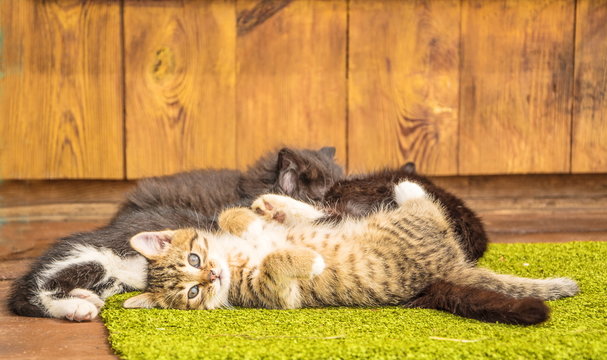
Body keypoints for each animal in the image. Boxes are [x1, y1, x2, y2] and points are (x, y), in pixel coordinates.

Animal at [8, 146, 342, 320]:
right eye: (327, 191)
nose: (338, 204)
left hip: (107, 279)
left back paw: (84, 297)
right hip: (91, 258)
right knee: (34, 291)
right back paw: (76, 306)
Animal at [124, 181, 580, 324]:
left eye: (194, 260)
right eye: (191, 293)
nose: (212, 277)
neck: (234, 259)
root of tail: (452, 266)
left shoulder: (232, 233)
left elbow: (232, 215)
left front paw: (255, 219)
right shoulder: (276, 295)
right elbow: (275, 267)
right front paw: (311, 260)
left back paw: (279, 204)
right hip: (407, 228)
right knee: (427, 208)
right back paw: (406, 187)